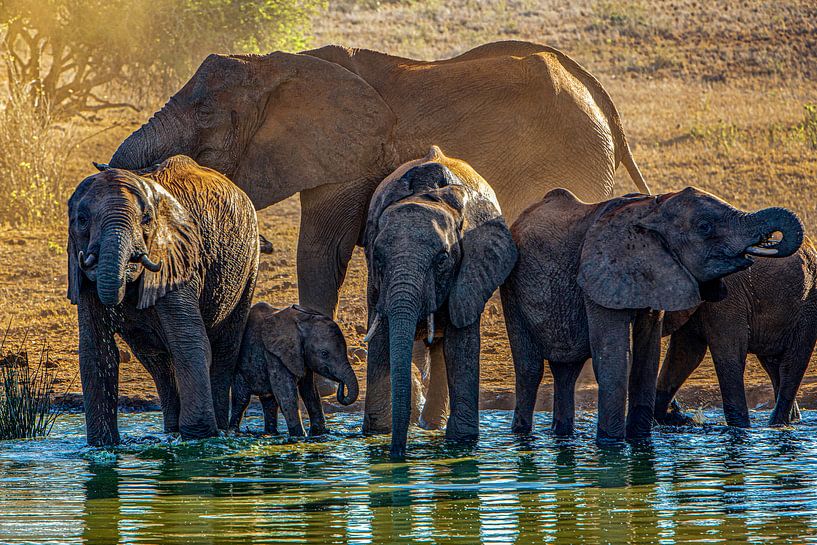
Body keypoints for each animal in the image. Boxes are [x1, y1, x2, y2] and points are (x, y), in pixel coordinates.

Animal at [67, 155, 259, 445]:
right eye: (82, 220)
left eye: (146, 220)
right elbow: (96, 352)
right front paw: (102, 444)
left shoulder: (178, 257)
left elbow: (188, 342)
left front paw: (198, 440)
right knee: (158, 363)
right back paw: (171, 431)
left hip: (248, 265)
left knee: (224, 350)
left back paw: (219, 431)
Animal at [107, 40, 648, 320]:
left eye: (204, 111)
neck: (277, 64)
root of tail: (597, 92)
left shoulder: (350, 154)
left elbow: (321, 250)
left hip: (573, 151)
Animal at [229, 303, 359, 436]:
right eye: (324, 354)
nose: (341, 383)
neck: (302, 319)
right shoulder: (273, 355)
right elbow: (286, 393)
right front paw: (300, 435)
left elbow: (310, 392)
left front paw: (320, 433)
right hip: (239, 370)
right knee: (242, 400)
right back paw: (234, 432)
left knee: (269, 403)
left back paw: (271, 433)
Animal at [362, 147, 518, 457]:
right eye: (378, 258)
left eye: (442, 260)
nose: (398, 455)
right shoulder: (376, 284)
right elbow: (382, 340)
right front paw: (377, 436)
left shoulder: (471, 270)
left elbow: (461, 347)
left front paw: (462, 442)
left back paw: (432, 425)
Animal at [654, 242, 817, 428]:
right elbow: (686, 354)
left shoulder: (726, 298)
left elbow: (728, 353)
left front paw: (740, 427)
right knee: (773, 366)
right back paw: (790, 421)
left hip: (808, 306)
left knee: (791, 365)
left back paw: (776, 424)